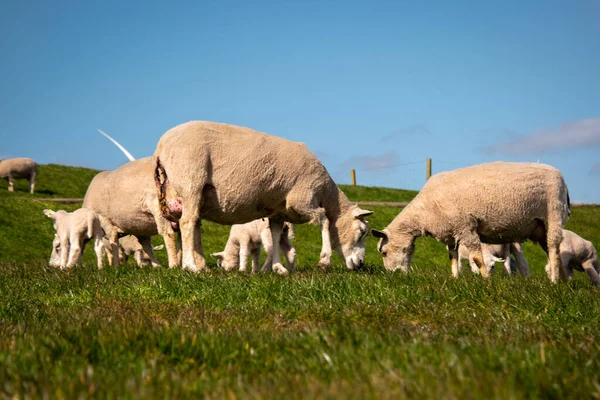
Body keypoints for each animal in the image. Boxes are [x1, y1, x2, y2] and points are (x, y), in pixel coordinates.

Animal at [152, 120, 372, 274]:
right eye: (362, 232)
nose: (361, 264)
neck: (327, 193)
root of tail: (161, 146)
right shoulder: (302, 199)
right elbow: (326, 221)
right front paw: (324, 261)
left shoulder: (278, 211)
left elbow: (274, 238)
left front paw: (277, 268)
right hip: (191, 182)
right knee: (187, 223)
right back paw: (190, 266)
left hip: (196, 194)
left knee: (195, 225)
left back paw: (202, 266)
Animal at [372, 161, 568, 282]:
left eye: (383, 252)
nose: (393, 275)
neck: (423, 213)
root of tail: (561, 178)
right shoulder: (451, 232)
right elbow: (453, 258)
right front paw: (455, 278)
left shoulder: (466, 227)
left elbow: (477, 259)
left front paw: (486, 280)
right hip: (540, 227)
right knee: (555, 251)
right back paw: (565, 281)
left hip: (553, 213)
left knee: (553, 248)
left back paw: (554, 281)